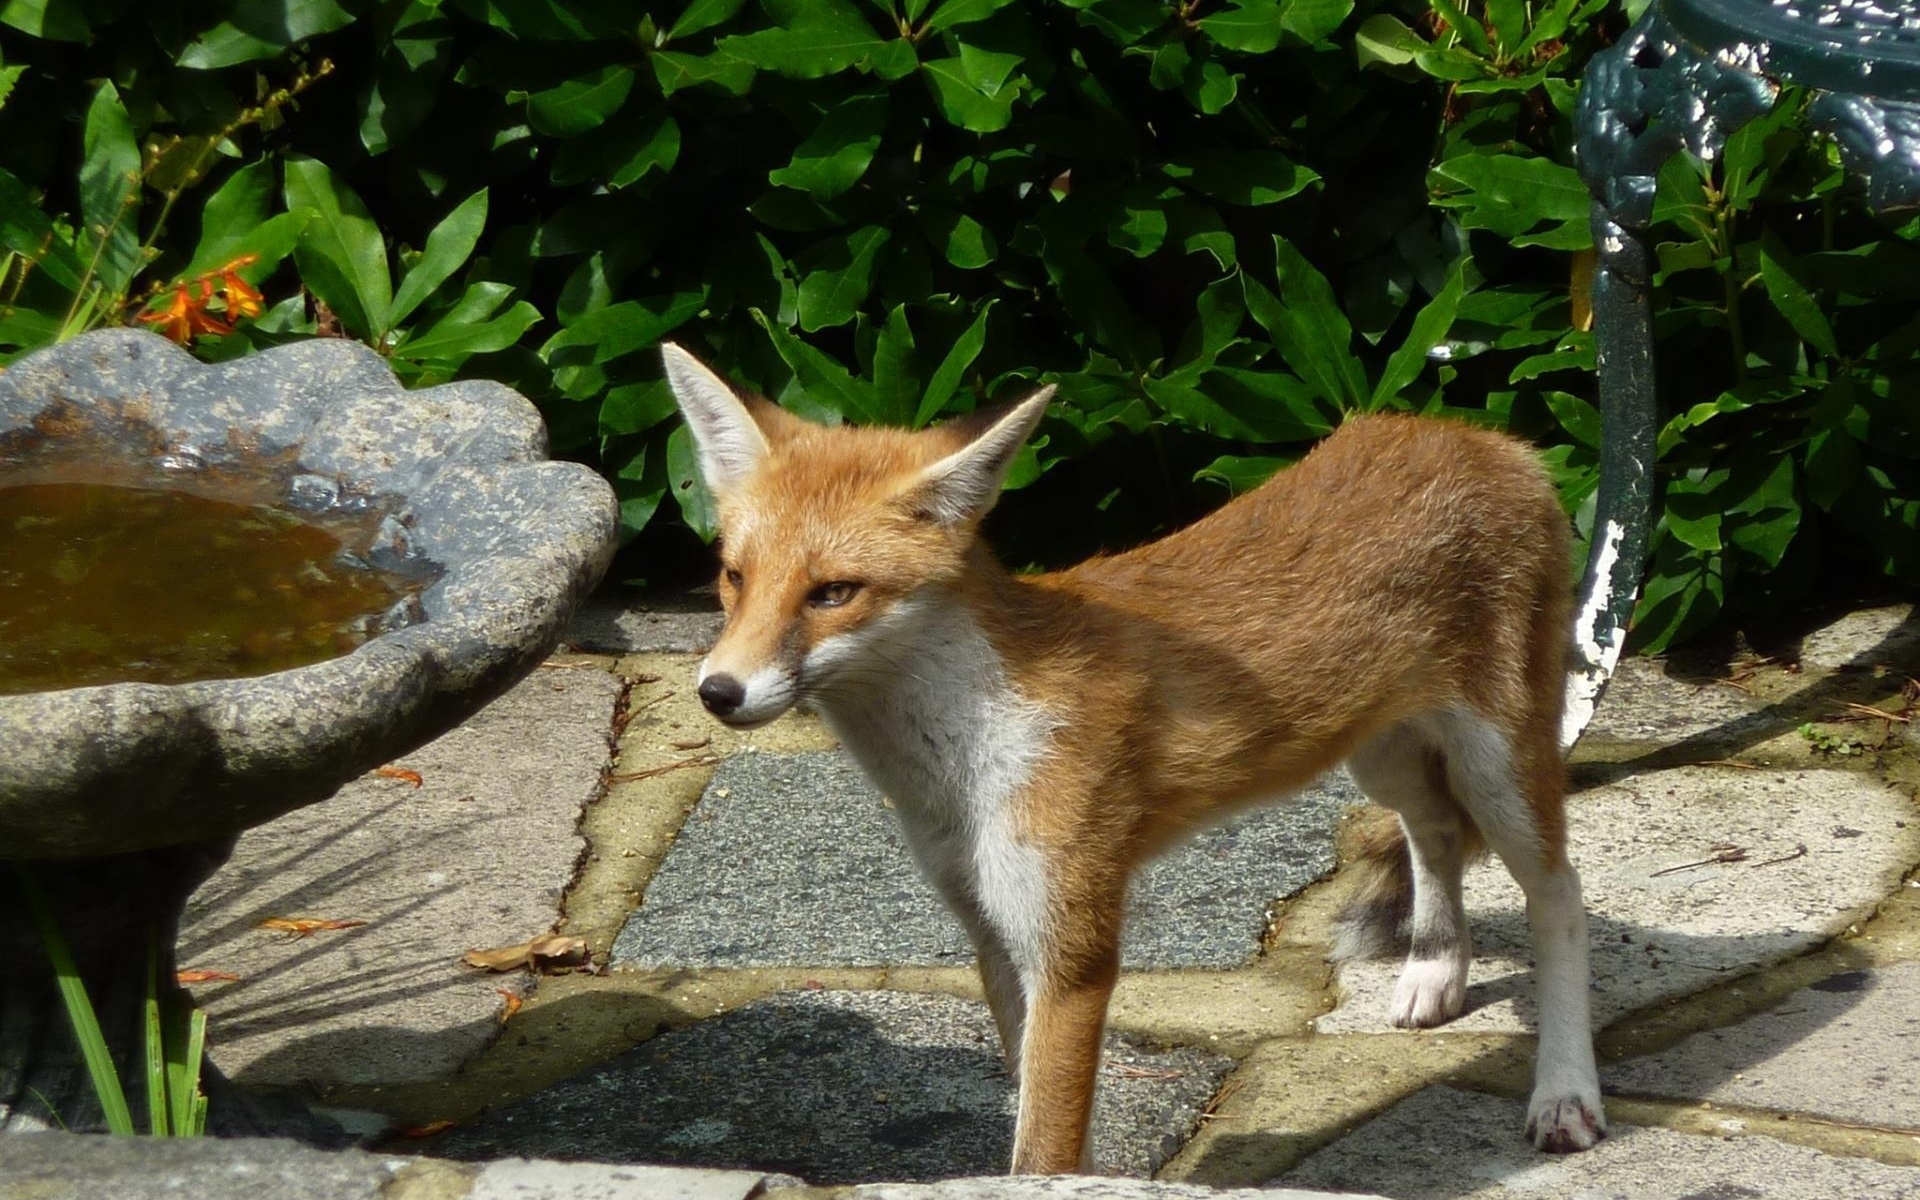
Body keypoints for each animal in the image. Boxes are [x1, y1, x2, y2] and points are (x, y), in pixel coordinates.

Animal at [659, 341, 1606, 1174]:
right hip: (1379, 755)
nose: (718, 692)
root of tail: (1481, 437)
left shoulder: (1072, 950)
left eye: (833, 593)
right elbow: (1041, 1120)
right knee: (1433, 833)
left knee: (1561, 896)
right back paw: (1435, 970)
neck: (960, 762)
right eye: (734, 576)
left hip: (1501, 763)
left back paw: (1565, 1094)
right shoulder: (994, 934)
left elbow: (1041, 1146)